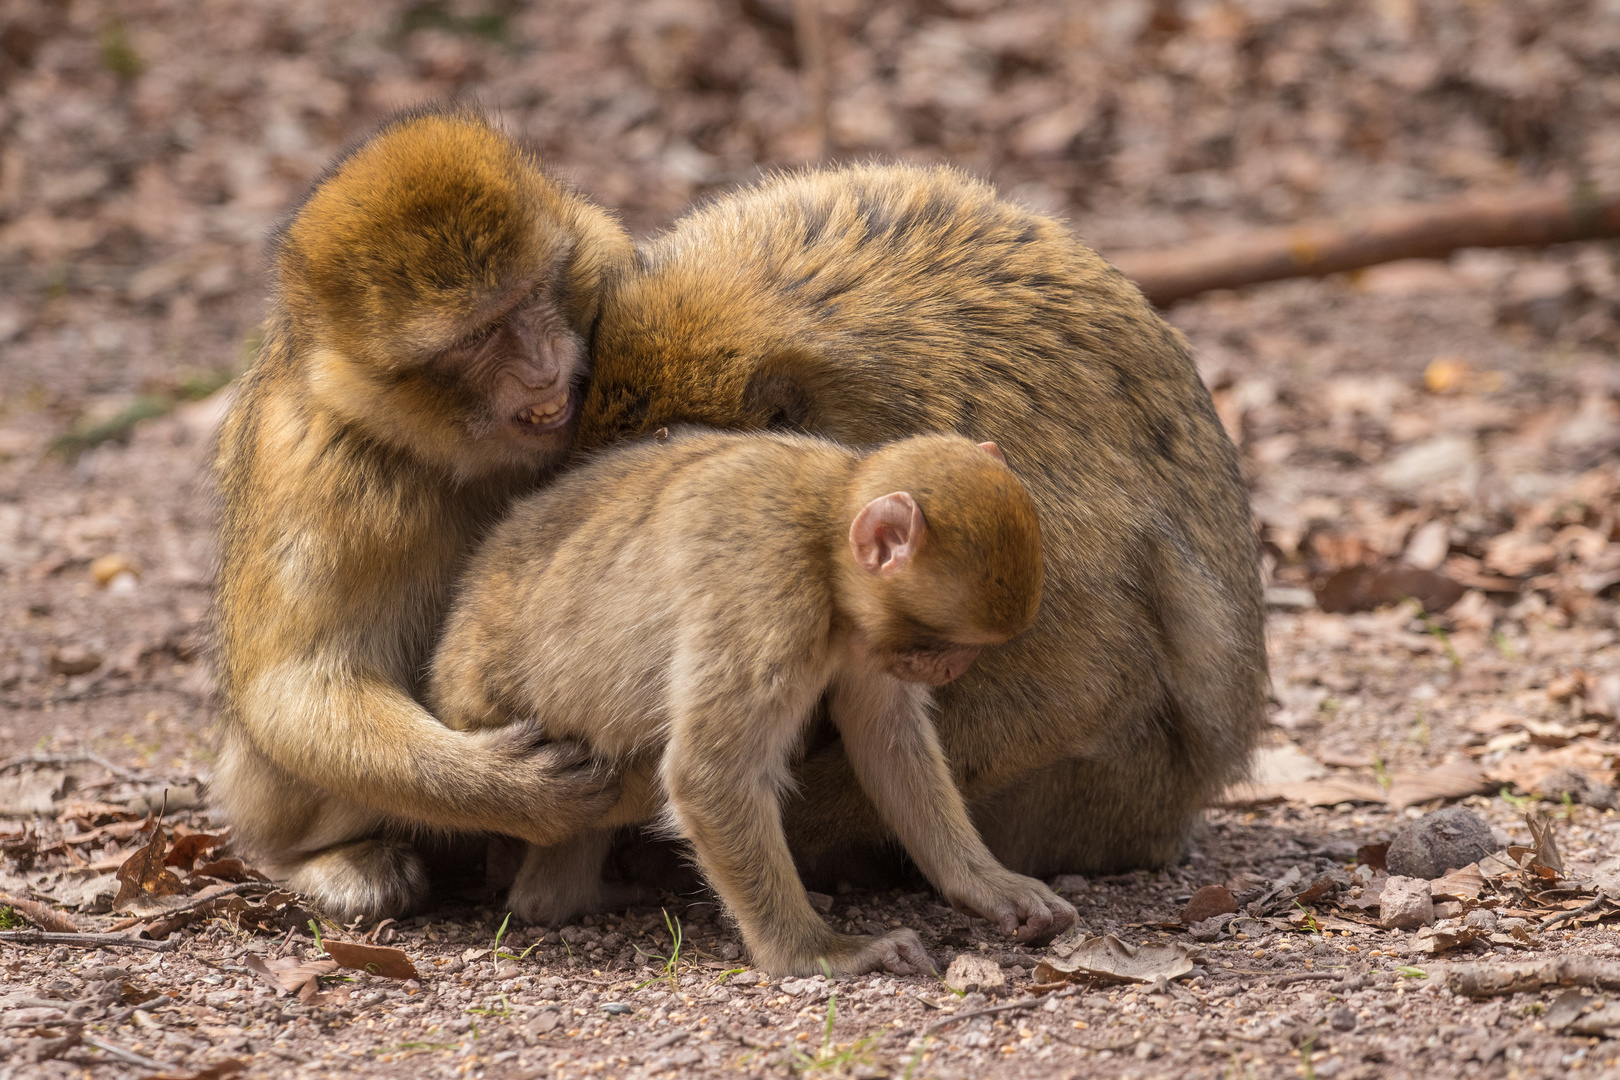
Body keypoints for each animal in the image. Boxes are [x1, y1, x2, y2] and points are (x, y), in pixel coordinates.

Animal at [213, 107, 638, 919]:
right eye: (478, 336)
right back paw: (320, 861)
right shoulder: (320, 469)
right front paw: (514, 792)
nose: (543, 366)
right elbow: (297, 687)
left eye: (534, 295)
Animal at [427, 433, 1075, 977]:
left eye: (963, 651)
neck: (825, 534)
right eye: (947, 647)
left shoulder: (863, 632)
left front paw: (984, 883)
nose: (952, 670)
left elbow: (885, 731)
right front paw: (818, 952)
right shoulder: (768, 593)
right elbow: (711, 772)